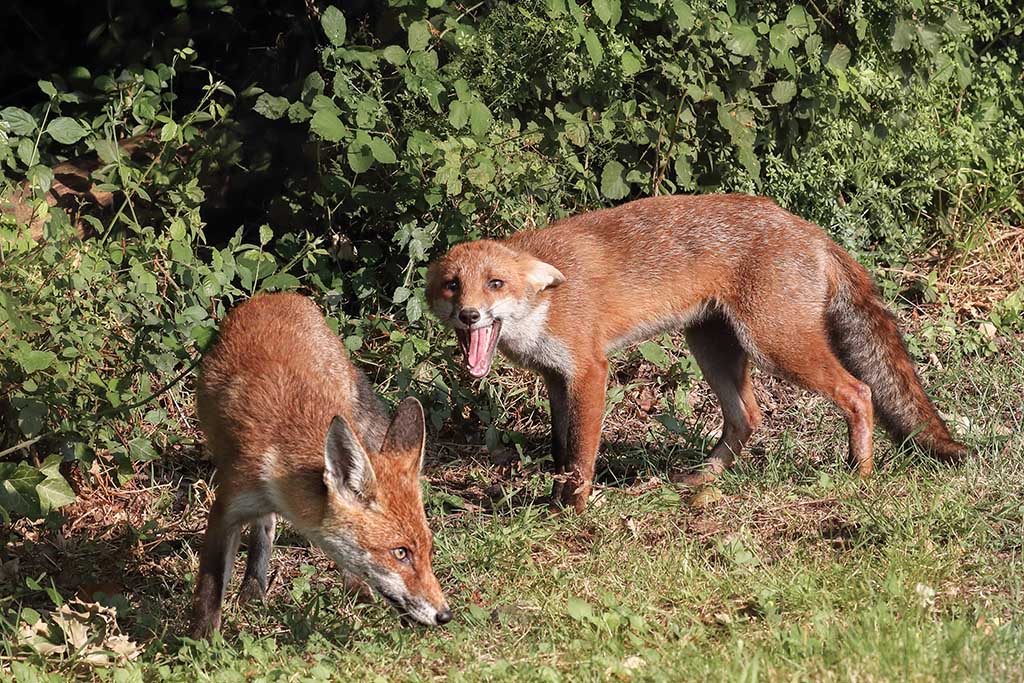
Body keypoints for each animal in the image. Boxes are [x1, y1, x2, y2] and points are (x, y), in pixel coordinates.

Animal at [190, 294, 450, 643]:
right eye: (400, 553)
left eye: (428, 549)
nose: (445, 615)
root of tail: (279, 296)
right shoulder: (227, 507)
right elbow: (210, 586)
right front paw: (201, 640)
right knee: (265, 526)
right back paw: (255, 587)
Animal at [423, 192, 966, 511]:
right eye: (453, 286)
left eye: (495, 284)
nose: (469, 315)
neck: (547, 302)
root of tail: (809, 229)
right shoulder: (557, 378)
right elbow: (561, 451)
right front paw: (552, 502)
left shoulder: (590, 371)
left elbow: (581, 456)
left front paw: (572, 514)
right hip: (713, 348)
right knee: (748, 417)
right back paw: (703, 479)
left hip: (776, 345)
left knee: (859, 391)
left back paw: (860, 473)